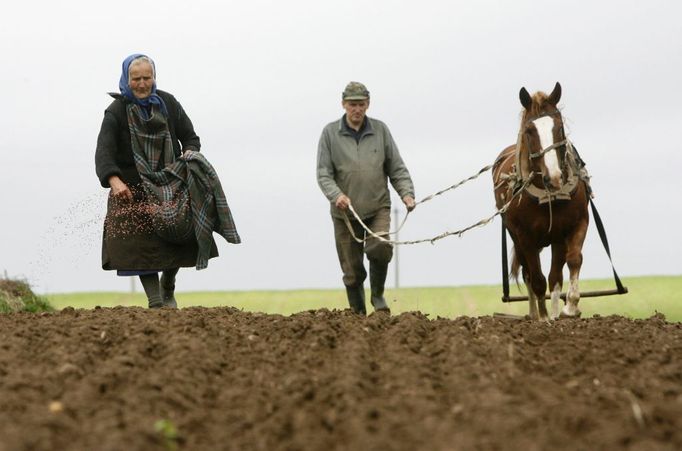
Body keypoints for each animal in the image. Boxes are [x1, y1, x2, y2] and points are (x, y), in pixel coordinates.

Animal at [492, 82, 588, 322]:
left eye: (559, 126)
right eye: (529, 131)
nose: (554, 178)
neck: (549, 196)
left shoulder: (576, 224)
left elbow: (573, 261)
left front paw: (569, 308)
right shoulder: (525, 236)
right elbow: (536, 278)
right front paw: (543, 319)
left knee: (555, 276)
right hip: (516, 237)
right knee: (529, 273)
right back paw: (536, 314)